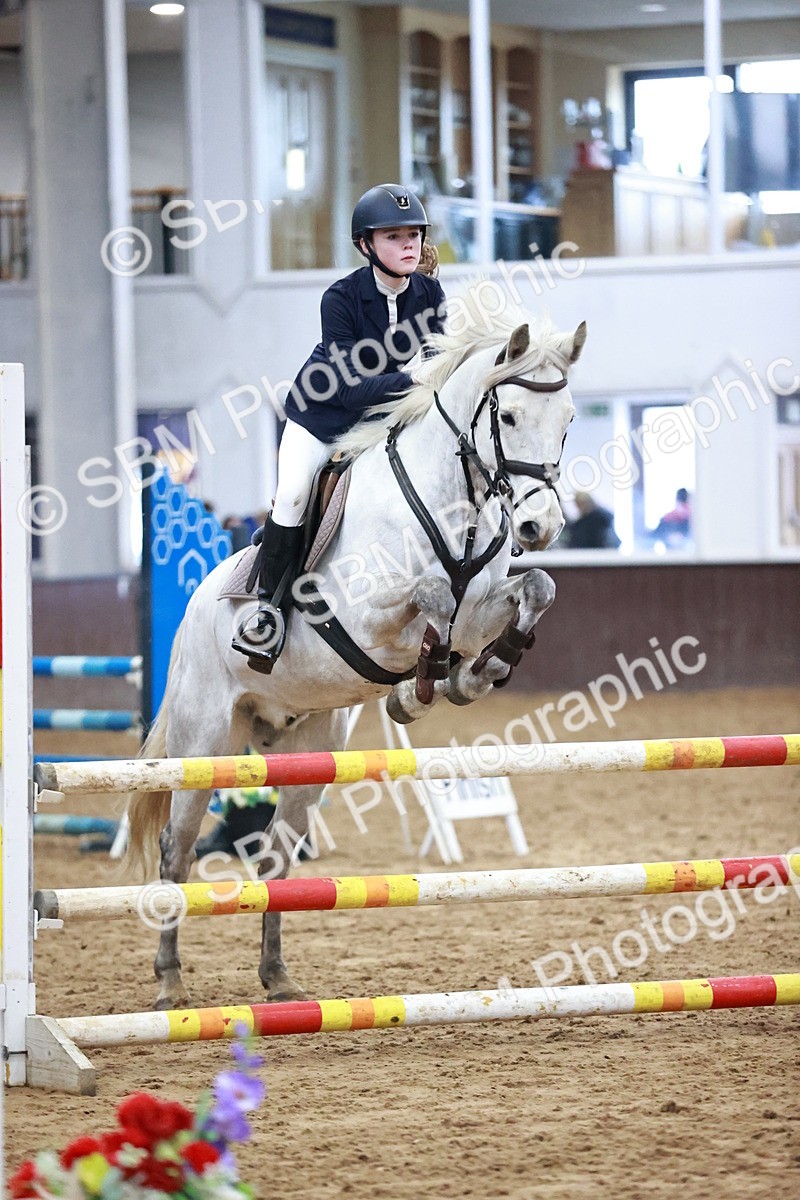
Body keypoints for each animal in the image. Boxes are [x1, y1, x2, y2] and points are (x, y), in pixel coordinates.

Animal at [127, 307, 586, 1010]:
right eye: (507, 417)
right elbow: (431, 598)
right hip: (204, 745)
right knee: (175, 853)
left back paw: (279, 979)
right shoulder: (366, 617)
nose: (541, 527)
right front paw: (422, 685)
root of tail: (194, 611)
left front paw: (475, 672)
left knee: (275, 859)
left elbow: (534, 590)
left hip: (307, 753)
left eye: (567, 419)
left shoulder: (483, 604)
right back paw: (171, 984)